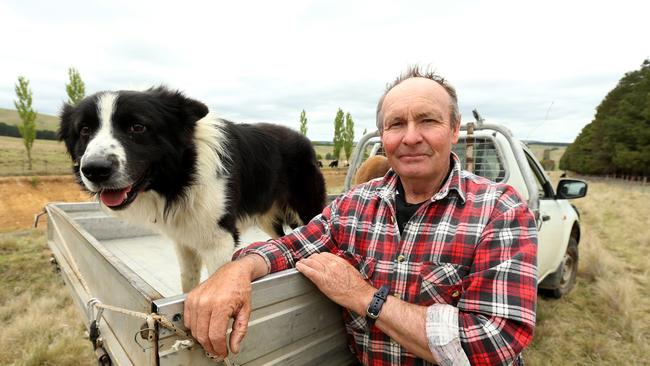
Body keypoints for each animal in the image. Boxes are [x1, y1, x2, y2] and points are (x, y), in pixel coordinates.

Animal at [58, 86, 326, 292]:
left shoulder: (220, 241)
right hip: (266, 217)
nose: (94, 170)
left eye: (137, 127)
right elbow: (188, 283)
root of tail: (304, 140)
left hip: (307, 208)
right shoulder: (183, 240)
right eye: (84, 130)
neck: (183, 176)